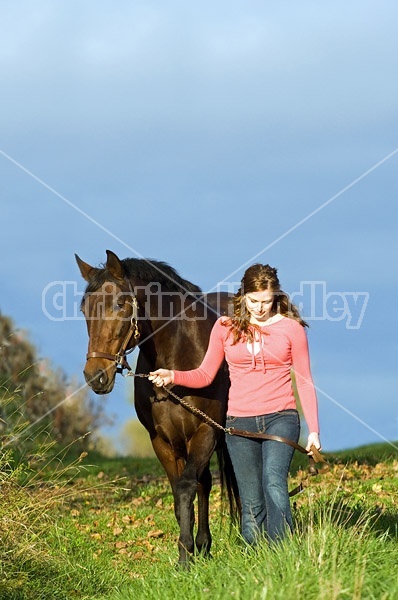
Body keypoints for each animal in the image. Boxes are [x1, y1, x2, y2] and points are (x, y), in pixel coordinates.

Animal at [75, 251, 238, 564]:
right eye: (84, 309)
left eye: (120, 304)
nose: (95, 376)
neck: (179, 357)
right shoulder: (162, 440)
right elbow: (179, 495)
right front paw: (188, 553)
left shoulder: (205, 431)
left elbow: (187, 487)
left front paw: (186, 556)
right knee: (204, 483)